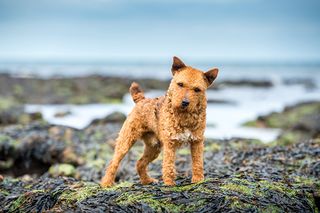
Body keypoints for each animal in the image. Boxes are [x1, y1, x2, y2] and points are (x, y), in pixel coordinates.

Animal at [101, 56, 219, 186]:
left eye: (197, 89)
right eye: (180, 84)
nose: (185, 102)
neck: (183, 116)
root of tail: (141, 100)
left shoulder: (197, 141)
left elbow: (198, 163)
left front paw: (198, 180)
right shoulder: (170, 143)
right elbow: (168, 165)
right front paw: (169, 184)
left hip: (154, 147)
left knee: (140, 163)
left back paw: (147, 180)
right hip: (126, 141)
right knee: (113, 163)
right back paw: (106, 183)